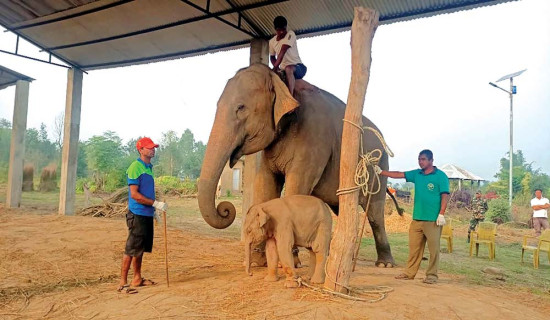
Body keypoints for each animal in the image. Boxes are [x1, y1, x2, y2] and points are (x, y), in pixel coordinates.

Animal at [198, 63, 396, 266]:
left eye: (241, 107)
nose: (225, 209)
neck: (280, 79)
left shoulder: (314, 141)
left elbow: (297, 185)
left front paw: (290, 261)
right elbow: (265, 185)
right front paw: (257, 261)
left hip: (379, 168)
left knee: (375, 214)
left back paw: (384, 263)